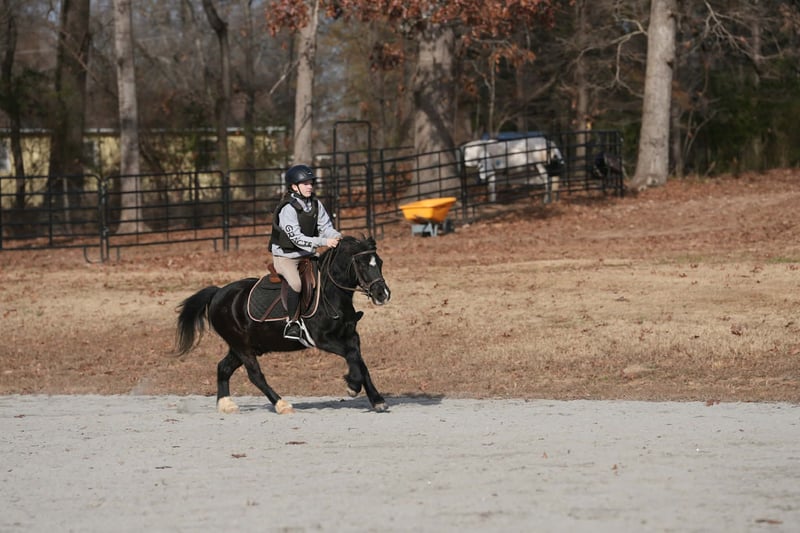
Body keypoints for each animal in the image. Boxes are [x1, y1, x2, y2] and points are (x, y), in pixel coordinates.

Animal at [175, 236, 391, 415]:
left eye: (379, 262)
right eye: (362, 264)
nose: (383, 294)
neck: (330, 294)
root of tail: (218, 293)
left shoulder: (351, 336)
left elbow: (359, 361)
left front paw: (377, 400)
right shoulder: (323, 340)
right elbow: (351, 355)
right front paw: (352, 386)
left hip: (243, 347)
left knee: (223, 368)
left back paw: (226, 404)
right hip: (242, 347)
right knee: (255, 375)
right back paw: (281, 404)